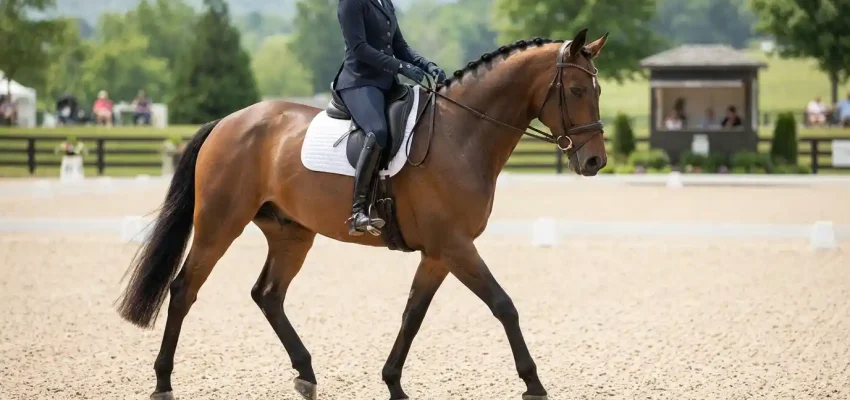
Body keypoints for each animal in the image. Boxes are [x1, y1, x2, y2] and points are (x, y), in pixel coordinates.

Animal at [116, 28, 609, 400]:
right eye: (577, 90)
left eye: (598, 89)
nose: (595, 162)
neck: (462, 134)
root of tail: (228, 121)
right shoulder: (455, 246)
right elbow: (504, 305)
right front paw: (534, 383)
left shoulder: (439, 252)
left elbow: (413, 314)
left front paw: (393, 384)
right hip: (219, 225)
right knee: (184, 289)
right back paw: (163, 382)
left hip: (292, 233)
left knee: (268, 294)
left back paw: (306, 375)